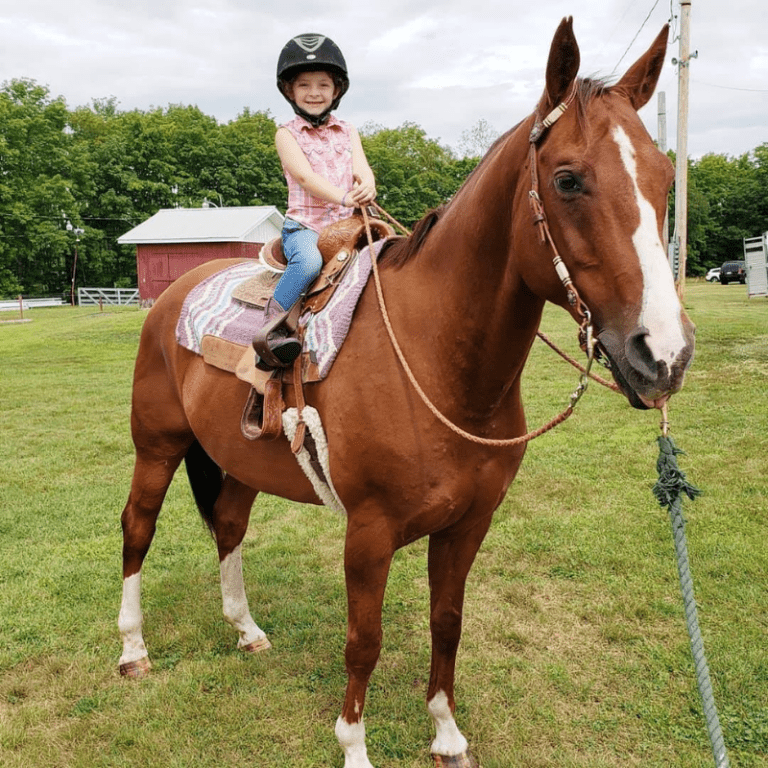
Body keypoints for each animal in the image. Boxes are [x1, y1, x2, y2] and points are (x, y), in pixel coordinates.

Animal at [118, 18, 694, 767]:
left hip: (236, 459)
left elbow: (447, 623)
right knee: (137, 528)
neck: (438, 362)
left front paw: (447, 733)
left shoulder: (468, 524)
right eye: (568, 179)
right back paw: (132, 650)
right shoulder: (368, 533)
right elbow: (364, 641)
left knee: (229, 526)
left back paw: (245, 630)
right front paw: (354, 746)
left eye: (665, 180)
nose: (665, 355)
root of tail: (173, 296)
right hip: (156, 447)